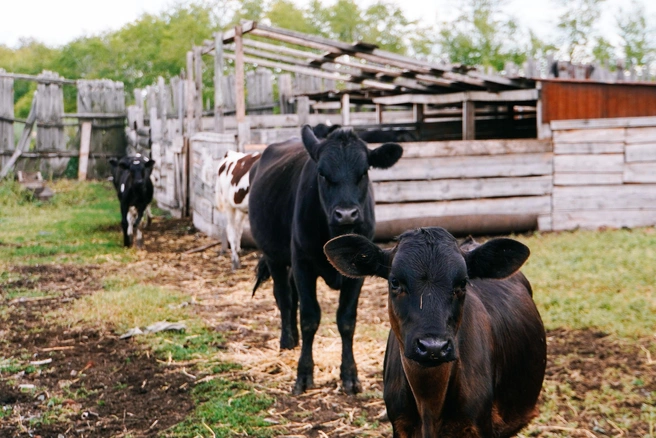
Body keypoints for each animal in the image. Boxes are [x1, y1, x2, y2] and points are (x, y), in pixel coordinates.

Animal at [249, 125, 402, 396]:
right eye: (322, 173)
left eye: (364, 172)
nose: (346, 214)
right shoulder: (303, 264)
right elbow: (310, 318)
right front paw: (303, 374)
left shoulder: (358, 272)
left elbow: (347, 320)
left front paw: (350, 376)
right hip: (274, 255)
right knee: (284, 297)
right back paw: (287, 341)